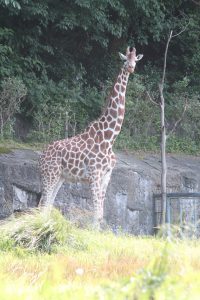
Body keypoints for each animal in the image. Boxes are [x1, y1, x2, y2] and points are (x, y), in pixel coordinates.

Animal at [38, 47, 142, 227]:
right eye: (124, 59)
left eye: (135, 60)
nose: (130, 67)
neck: (109, 138)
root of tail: (42, 155)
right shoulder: (94, 175)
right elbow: (96, 214)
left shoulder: (106, 176)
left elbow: (100, 214)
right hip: (49, 174)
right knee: (42, 204)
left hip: (60, 176)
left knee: (47, 204)